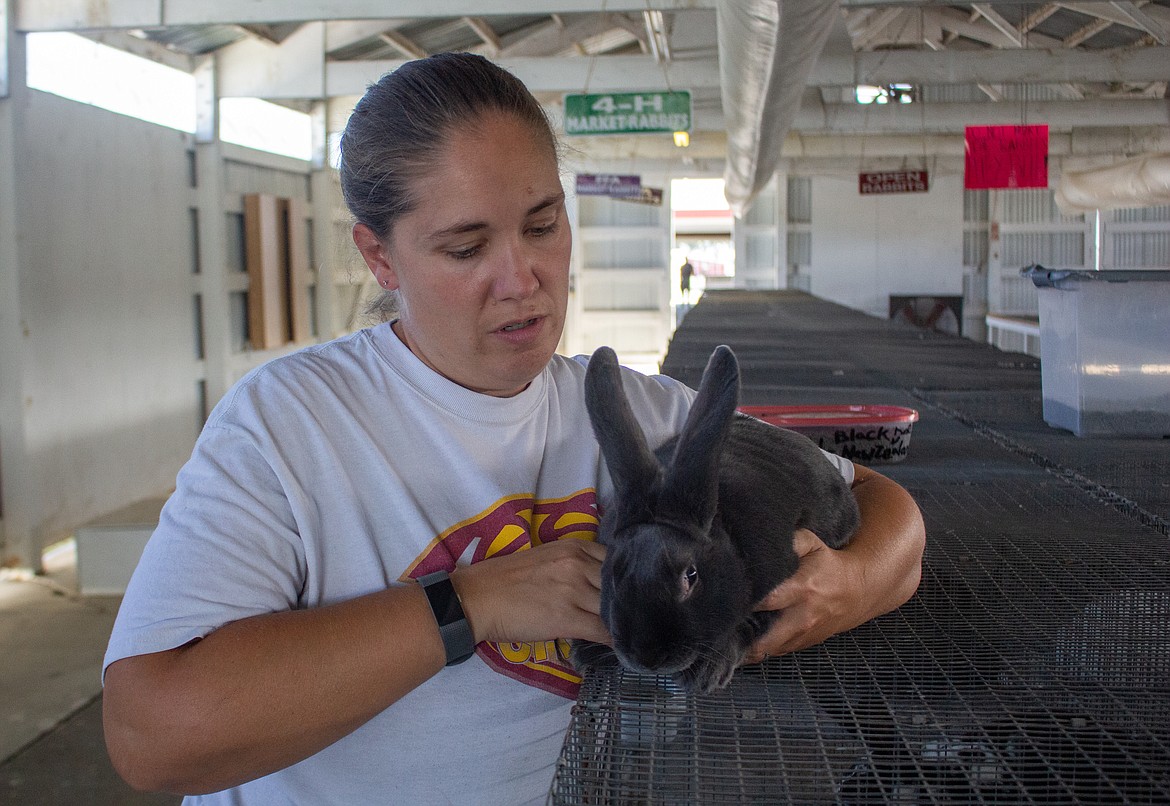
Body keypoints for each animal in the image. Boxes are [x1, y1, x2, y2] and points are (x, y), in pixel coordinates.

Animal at [573, 343, 861, 692]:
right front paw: (586, 652)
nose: (648, 657)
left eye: (691, 575)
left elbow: (751, 620)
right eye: (613, 573)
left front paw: (707, 671)